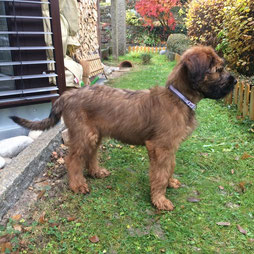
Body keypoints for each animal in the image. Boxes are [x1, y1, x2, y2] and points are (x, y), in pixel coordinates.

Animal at [9, 45, 236, 210]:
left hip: (95, 134)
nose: (234, 81)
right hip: (85, 134)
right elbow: (160, 173)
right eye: (218, 70)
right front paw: (160, 199)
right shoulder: (159, 147)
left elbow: (170, 167)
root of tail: (68, 95)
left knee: (90, 155)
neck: (178, 98)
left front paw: (170, 183)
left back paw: (96, 172)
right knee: (72, 159)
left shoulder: (170, 147)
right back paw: (78, 185)